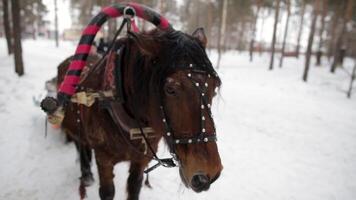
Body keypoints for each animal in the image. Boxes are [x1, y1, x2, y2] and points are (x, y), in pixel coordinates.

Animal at [56, 27, 222, 199]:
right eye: (170, 89)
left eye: (215, 87)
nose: (208, 172)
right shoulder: (104, 159)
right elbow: (107, 192)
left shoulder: (140, 161)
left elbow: (135, 186)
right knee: (80, 144)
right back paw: (86, 174)